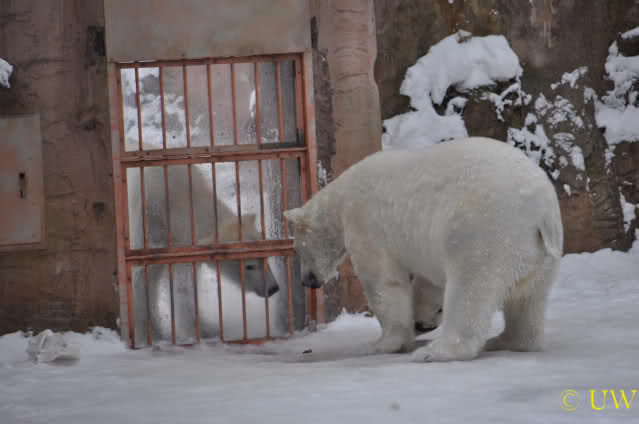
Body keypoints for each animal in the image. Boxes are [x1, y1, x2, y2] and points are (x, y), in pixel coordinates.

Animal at [284, 137, 563, 362]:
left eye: (298, 251)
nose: (307, 280)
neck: (342, 199)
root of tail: (543, 211)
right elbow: (429, 280)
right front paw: (420, 319)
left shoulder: (367, 224)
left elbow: (383, 282)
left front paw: (383, 344)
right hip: (541, 253)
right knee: (529, 298)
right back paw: (507, 340)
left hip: (485, 231)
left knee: (471, 289)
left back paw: (435, 351)